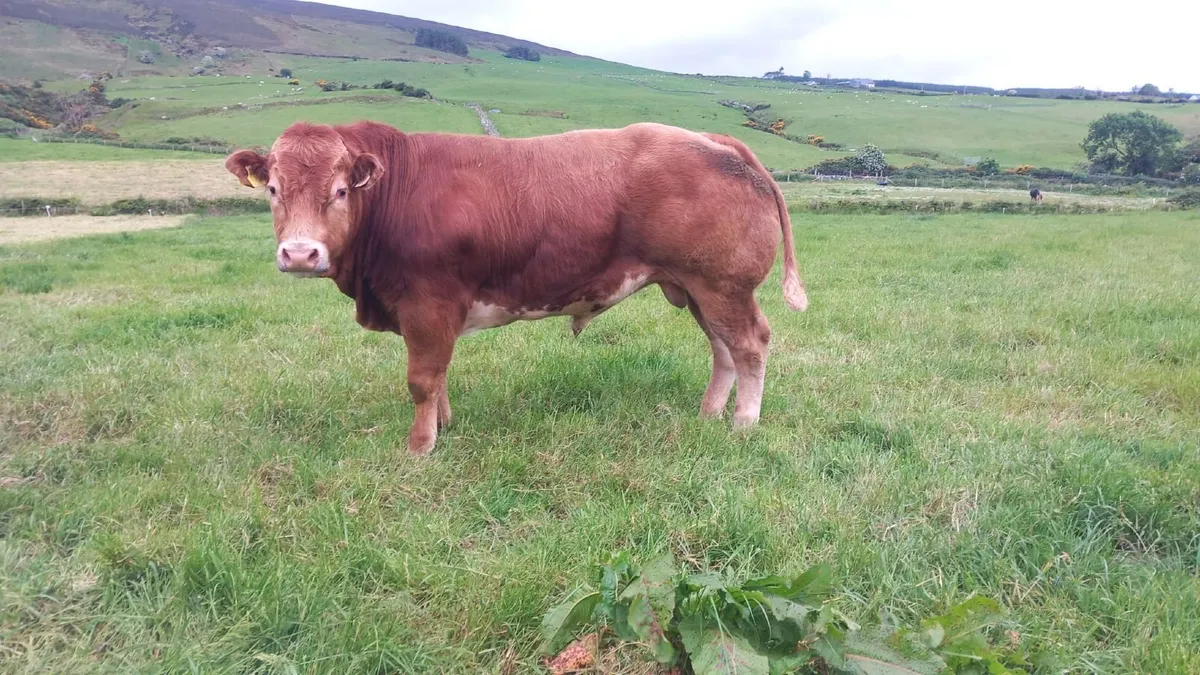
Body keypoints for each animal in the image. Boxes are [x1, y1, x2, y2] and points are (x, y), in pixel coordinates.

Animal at [225, 120, 808, 455]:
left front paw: (420, 447)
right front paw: (444, 426)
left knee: (749, 345)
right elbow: (439, 376)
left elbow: (422, 379)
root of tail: (712, 139)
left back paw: (743, 423)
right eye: (272, 189)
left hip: (723, 286)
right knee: (723, 349)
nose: (301, 254)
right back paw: (710, 413)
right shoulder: (432, 313)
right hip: (698, 288)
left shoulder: (427, 303)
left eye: (341, 189)